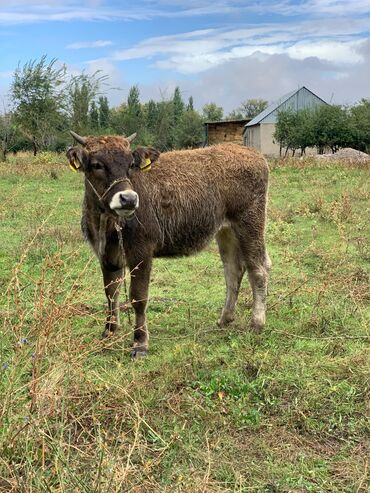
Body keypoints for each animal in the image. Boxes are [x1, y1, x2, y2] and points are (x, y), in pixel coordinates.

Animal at [66, 133, 270, 356]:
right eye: (97, 164)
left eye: (131, 164)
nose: (128, 199)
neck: (106, 222)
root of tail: (253, 154)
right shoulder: (106, 256)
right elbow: (111, 293)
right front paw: (108, 333)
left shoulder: (142, 253)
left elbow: (138, 298)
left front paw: (140, 343)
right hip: (226, 231)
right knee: (233, 270)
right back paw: (225, 318)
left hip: (250, 223)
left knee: (258, 269)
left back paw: (257, 322)